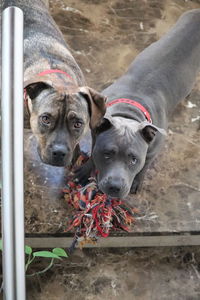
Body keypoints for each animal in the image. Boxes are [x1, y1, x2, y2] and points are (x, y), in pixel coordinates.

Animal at [77, 9, 200, 198]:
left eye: (134, 159)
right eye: (107, 154)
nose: (115, 187)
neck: (129, 111)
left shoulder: (153, 150)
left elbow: (145, 166)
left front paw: (137, 181)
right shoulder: (95, 133)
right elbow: (92, 150)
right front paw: (86, 169)